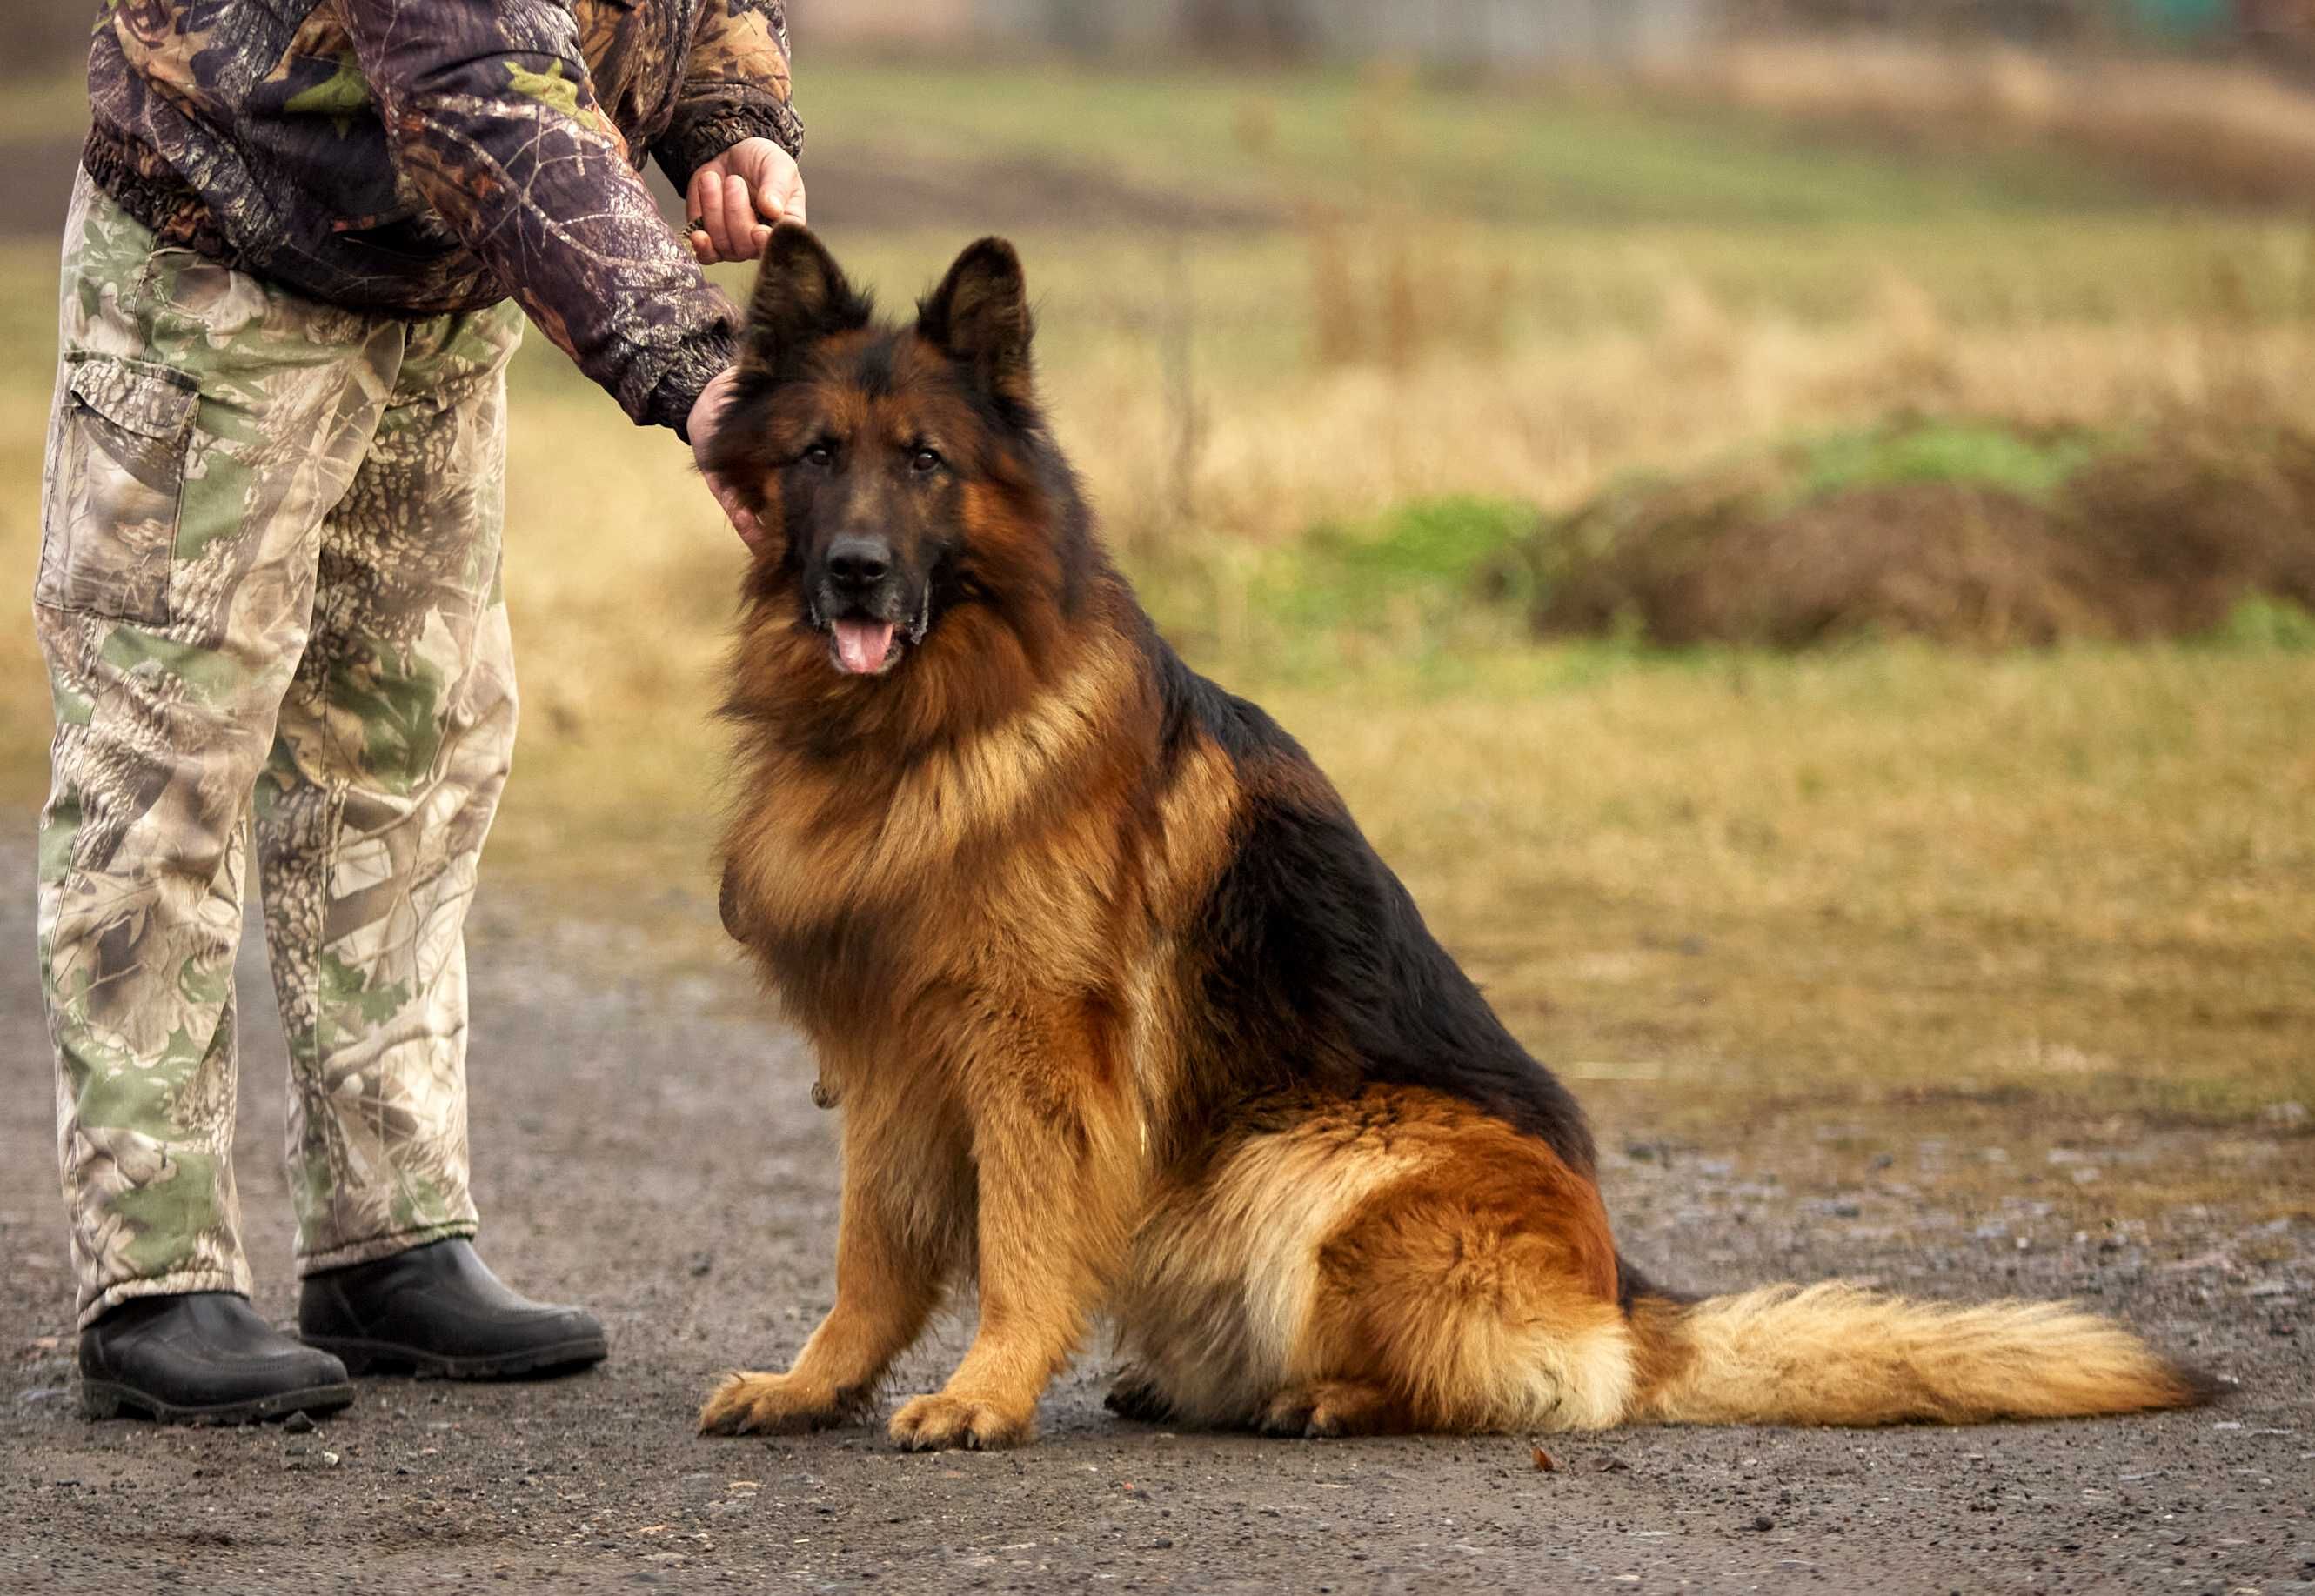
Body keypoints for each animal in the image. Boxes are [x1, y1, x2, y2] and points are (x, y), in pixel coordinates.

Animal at [694, 230, 2212, 1452]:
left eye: (927, 463)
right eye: (819, 455)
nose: (856, 574)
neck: (917, 732)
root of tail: (1622, 1295)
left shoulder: (1035, 1051)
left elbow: (1015, 1244)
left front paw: (984, 1393)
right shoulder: (887, 1052)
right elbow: (870, 1251)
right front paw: (815, 1383)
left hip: (1315, 1162)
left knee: (1507, 1382)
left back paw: (1320, 1394)